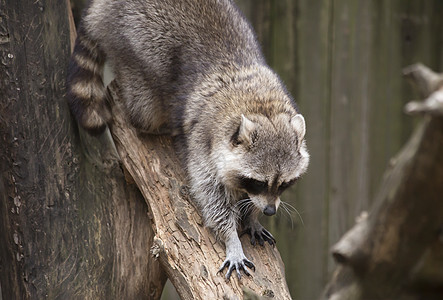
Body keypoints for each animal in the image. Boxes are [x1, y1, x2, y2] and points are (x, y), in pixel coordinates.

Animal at [67, 0, 310, 278]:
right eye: (258, 182)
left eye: (283, 184)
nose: (270, 210)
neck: (260, 105)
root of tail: (104, 7)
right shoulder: (204, 141)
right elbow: (210, 194)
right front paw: (231, 237)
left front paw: (252, 216)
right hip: (137, 40)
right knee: (144, 108)